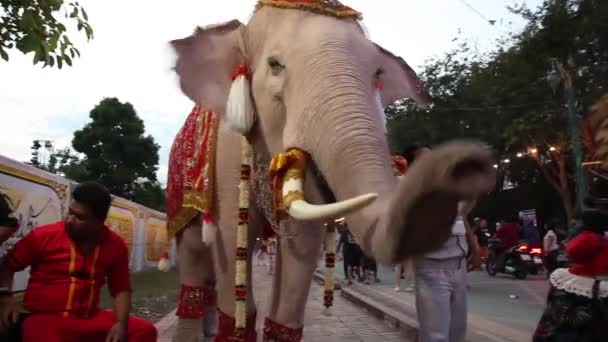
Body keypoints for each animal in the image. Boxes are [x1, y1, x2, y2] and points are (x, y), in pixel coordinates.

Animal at [165, 1, 494, 340]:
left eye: (378, 73)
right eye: (275, 65)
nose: (470, 163)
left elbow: (301, 244)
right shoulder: (228, 151)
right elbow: (231, 235)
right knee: (195, 256)